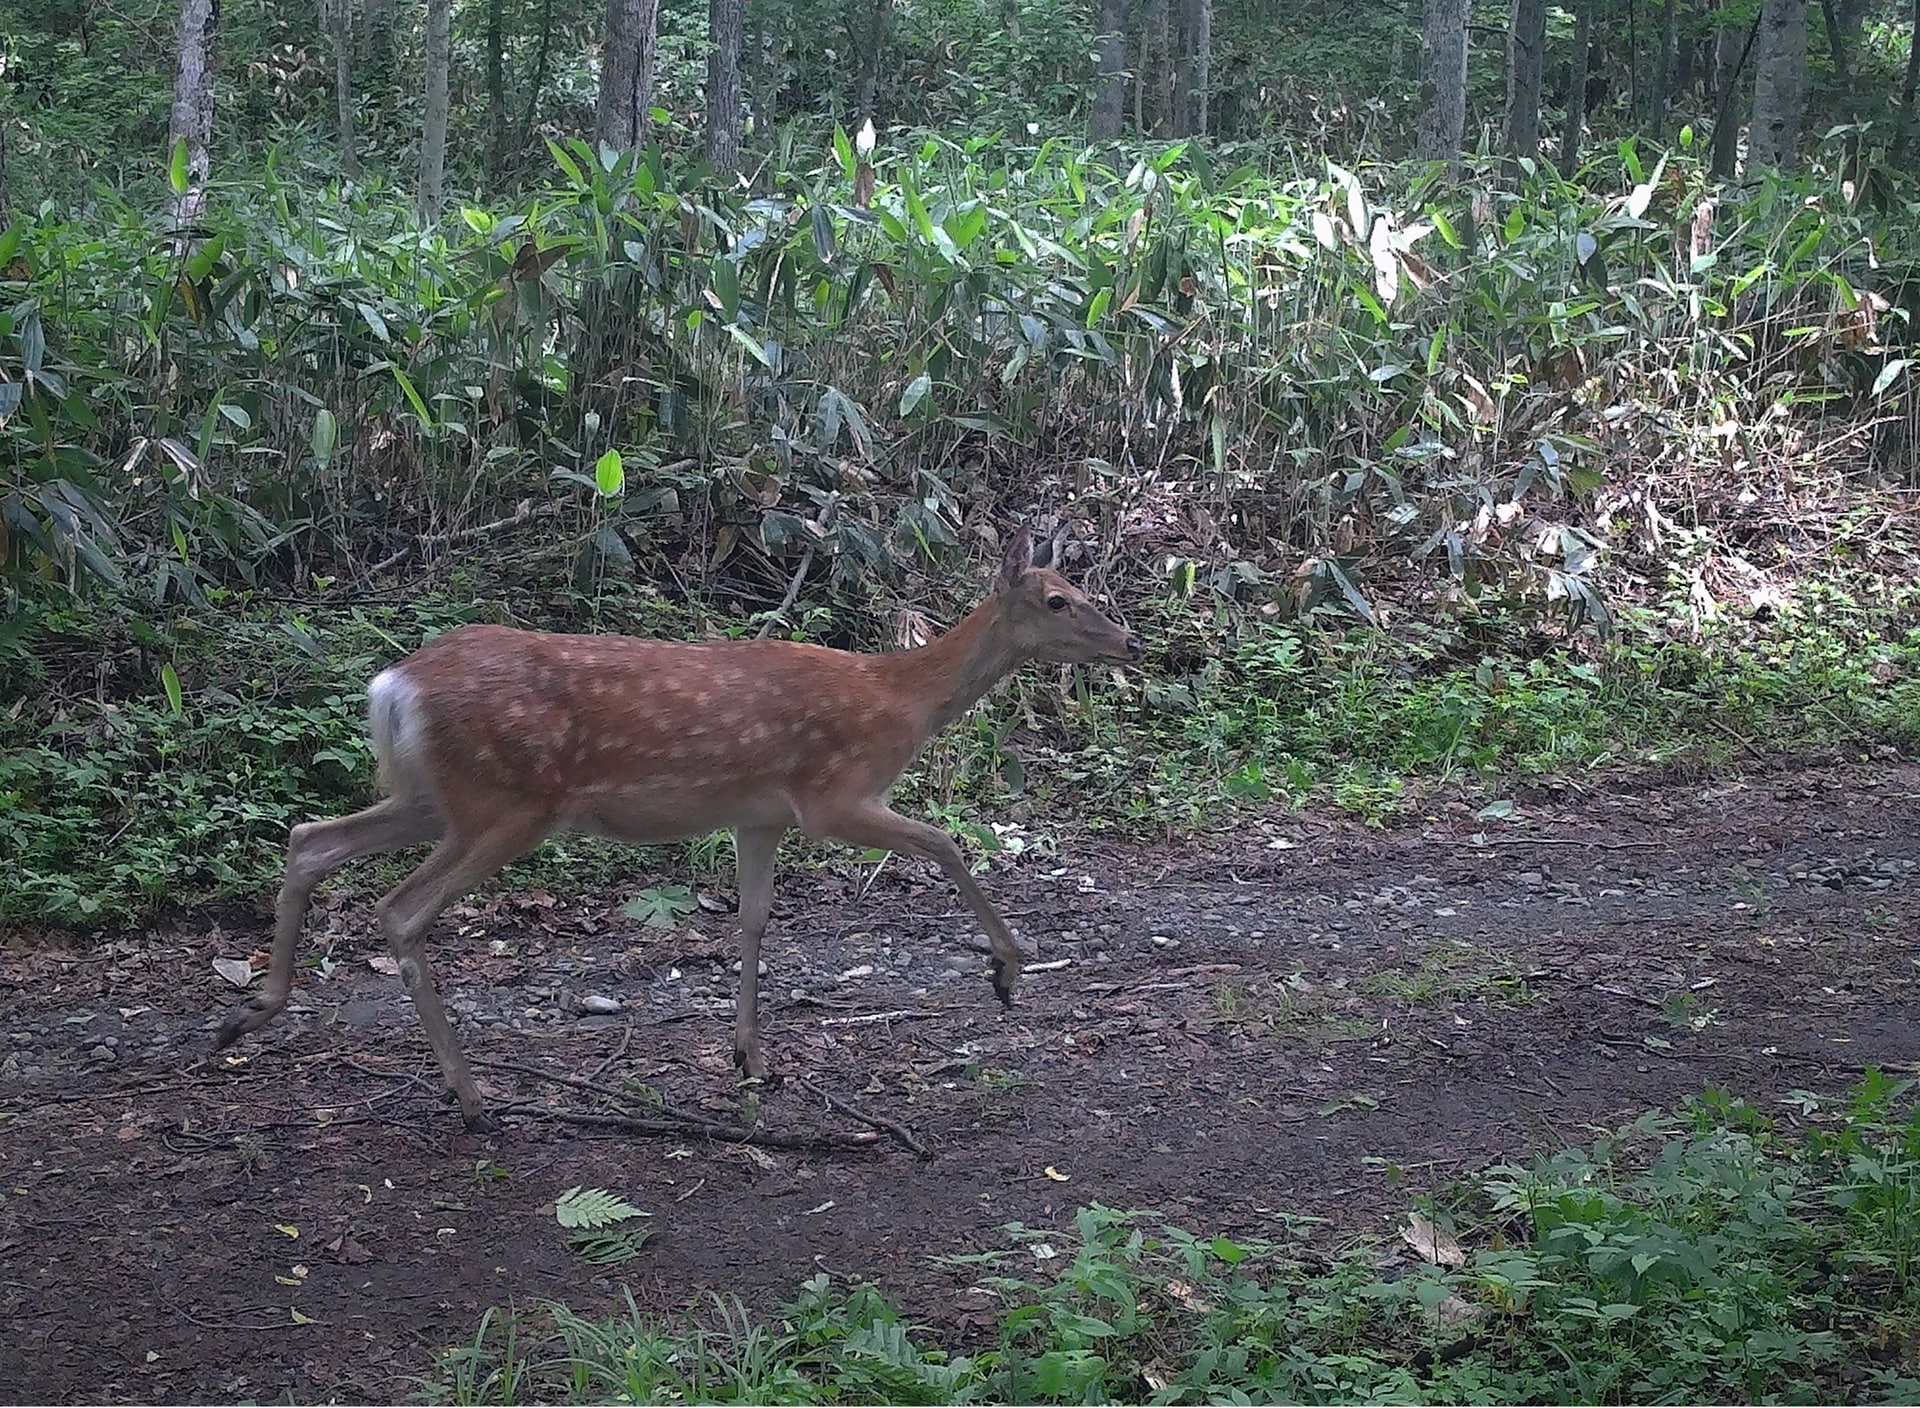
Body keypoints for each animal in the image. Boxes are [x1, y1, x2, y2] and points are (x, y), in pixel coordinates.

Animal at [210, 526, 1136, 1129]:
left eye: (1088, 593)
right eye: (1059, 599)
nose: (1126, 640)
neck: (898, 700)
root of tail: (392, 685)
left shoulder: (760, 816)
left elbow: (755, 918)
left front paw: (750, 1056)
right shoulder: (830, 794)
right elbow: (947, 841)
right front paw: (1008, 968)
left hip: (435, 796)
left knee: (309, 838)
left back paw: (250, 1013)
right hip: (508, 803)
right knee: (400, 910)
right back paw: (472, 1100)